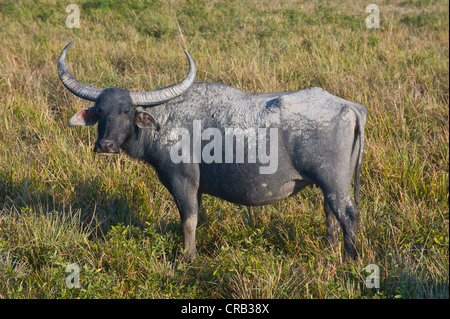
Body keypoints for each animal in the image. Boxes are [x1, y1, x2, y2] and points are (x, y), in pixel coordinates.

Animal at [57, 40, 366, 260]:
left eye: (125, 111)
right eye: (100, 110)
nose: (105, 145)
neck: (166, 121)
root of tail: (349, 106)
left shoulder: (182, 182)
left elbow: (188, 220)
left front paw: (187, 257)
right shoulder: (198, 189)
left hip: (334, 182)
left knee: (348, 214)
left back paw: (350, 258)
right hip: (328, 186)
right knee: (331, 217)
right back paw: (330, 253)